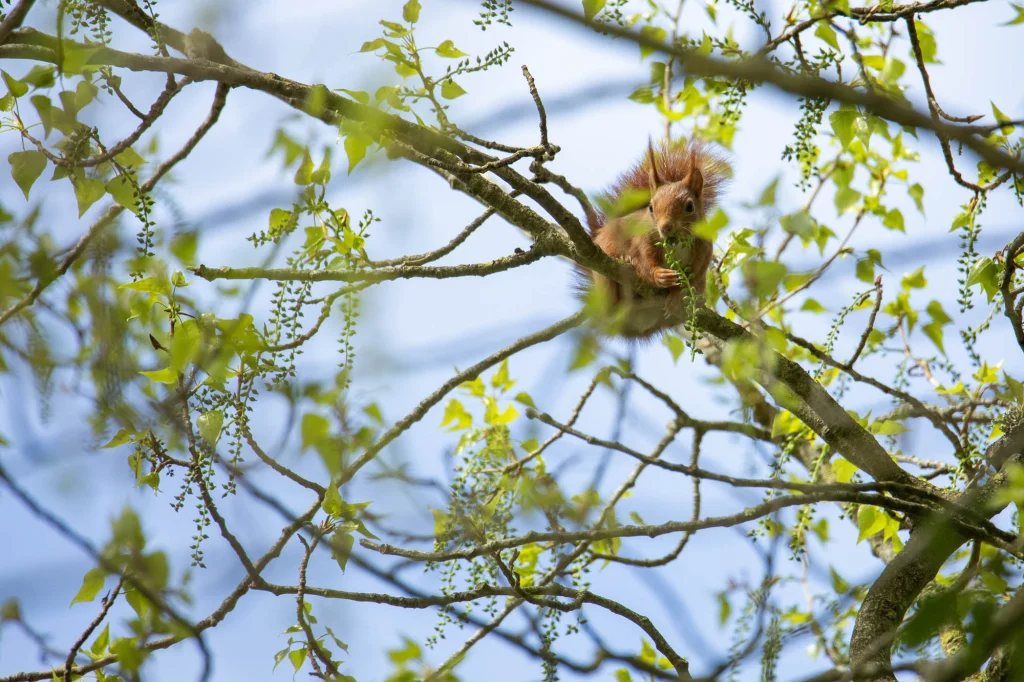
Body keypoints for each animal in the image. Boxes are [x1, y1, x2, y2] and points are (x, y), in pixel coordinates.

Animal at [579, 137, 728, 341]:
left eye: (689, 206)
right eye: (651, 207)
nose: (665, 227)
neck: (676, 242)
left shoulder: (704, 250)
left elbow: (694, 272)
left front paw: (676, 296)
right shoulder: (642, 241)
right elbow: (643, 261)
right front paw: (659, 275)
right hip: (603, 281)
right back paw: (625, 264)